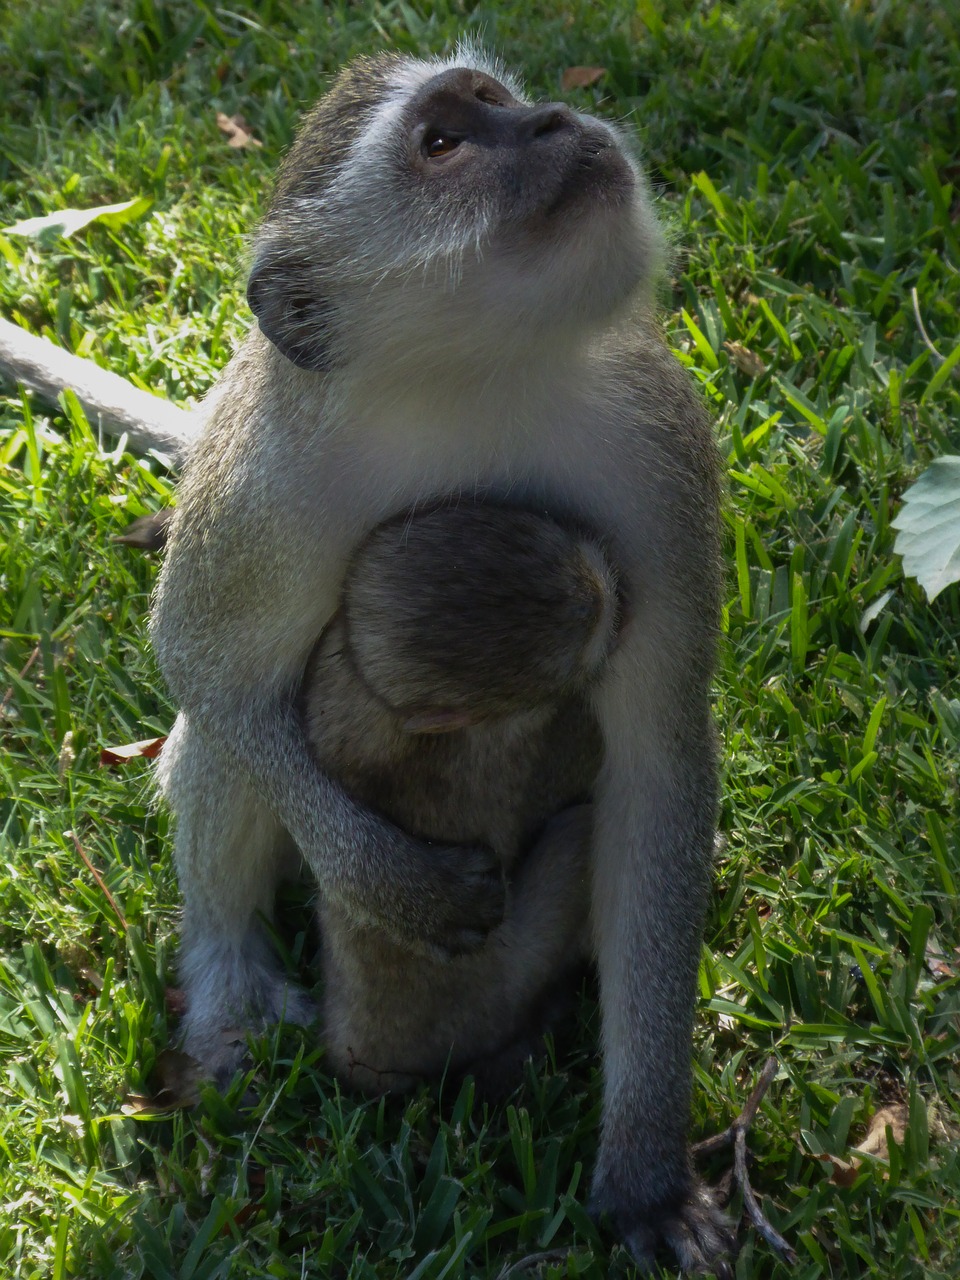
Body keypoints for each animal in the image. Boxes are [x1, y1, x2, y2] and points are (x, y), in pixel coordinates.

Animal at [152, 49, 737, 1280]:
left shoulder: (659, 456)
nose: (556, 118)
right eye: (441, 144)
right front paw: (392, 883)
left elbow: (660, 770)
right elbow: (203, 663)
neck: (474, 383)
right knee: (223, 735)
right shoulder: (272, 481)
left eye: (497, 101)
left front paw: (644, 1169)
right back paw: (226, 980)